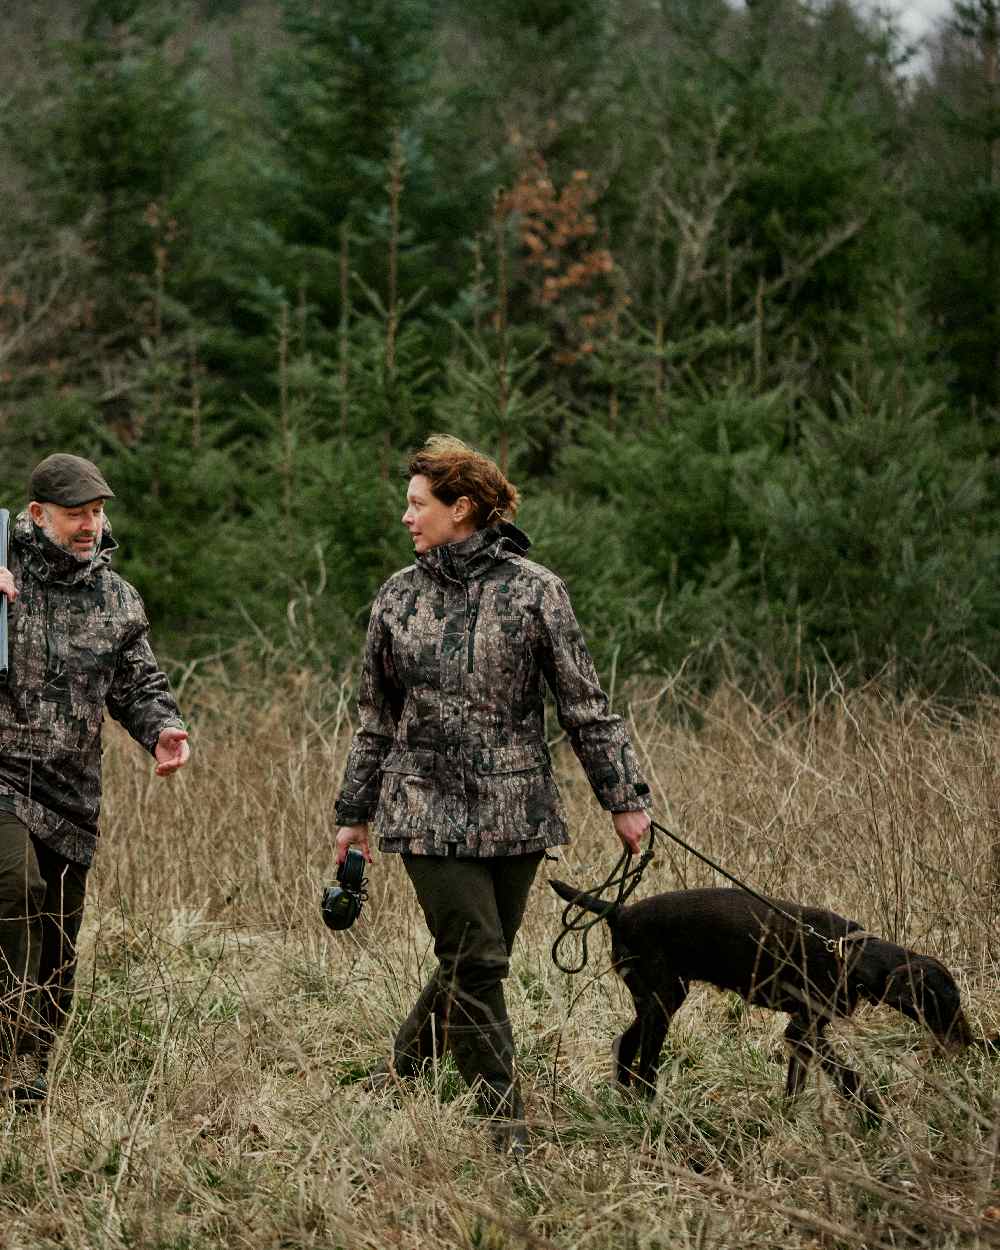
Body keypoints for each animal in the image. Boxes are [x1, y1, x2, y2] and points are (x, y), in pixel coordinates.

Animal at [550, 875, 995, 1120]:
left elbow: (797, 1082)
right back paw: (649, 1110)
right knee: (646, 1063)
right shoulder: (804, 1031)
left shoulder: (804, 1034)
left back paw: (624, 1100)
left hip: (660, 997)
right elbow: (849, 1077)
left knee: (625, 1044)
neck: (852, 956)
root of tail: (619, 911)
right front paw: (874, 1115)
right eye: (946, 1002)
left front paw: (790, 1117)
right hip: (661, 1002)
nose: (971, 1042)